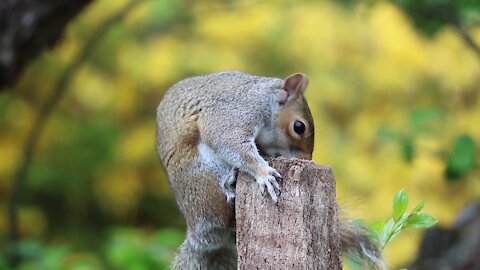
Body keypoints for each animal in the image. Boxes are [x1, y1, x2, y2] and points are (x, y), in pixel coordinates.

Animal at [158, 70, 386, 268]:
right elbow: (227, 140)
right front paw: (264, 173)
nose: (307, 161)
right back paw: (231, 182)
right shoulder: (235, 111)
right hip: (204, 177)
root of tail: (199, 235)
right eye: (299, 127)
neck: (265, 98)